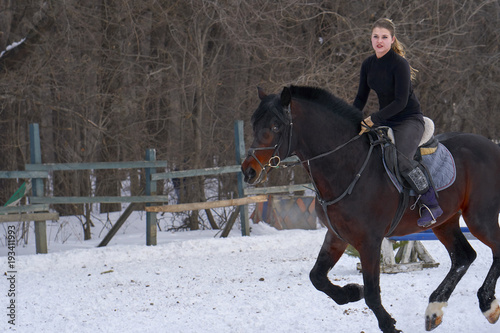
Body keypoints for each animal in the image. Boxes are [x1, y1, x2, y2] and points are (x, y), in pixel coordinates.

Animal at [241, 85, 500, 332]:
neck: (347, 167)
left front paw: (389, 325)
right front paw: (352, 291)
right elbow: (317, 277)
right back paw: (435, 310)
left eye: (276, 126)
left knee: (492, 249)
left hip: (479, 218)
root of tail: (493, 148)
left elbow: (373, 294)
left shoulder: (369, 241)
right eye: (254, 124)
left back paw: (487, 304)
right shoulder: (336, 236)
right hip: (445, 221)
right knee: (463, 256)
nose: (249, 171)